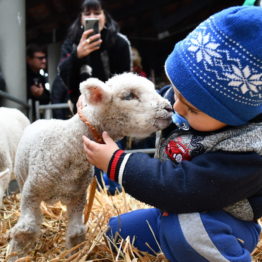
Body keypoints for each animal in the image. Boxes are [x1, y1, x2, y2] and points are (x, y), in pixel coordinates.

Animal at [7, 71, 172, 258]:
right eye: (129, 96)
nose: (168, 108)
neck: (66, 145)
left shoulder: (78, 197)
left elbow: (75, 233)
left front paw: (75, 254)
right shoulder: (31, 193)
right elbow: (25, 230)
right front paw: (15, 255)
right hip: (23, 181)